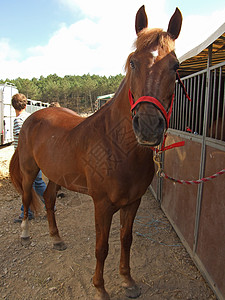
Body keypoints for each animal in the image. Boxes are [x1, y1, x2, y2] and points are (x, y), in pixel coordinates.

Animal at [9, 6, 182, 300]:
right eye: (133, 62)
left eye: (175, 66)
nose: (148, 127)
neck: (117, 147)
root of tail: (35, 116)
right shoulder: (101, 205)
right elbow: (102, 247)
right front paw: (100, 288)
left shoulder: (133, 202)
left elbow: (126, 240)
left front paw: (128, 281)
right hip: (30, 169)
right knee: (26, 197)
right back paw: (24, 234)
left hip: (57, 174)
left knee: (49, 199)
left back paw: (56, 239)